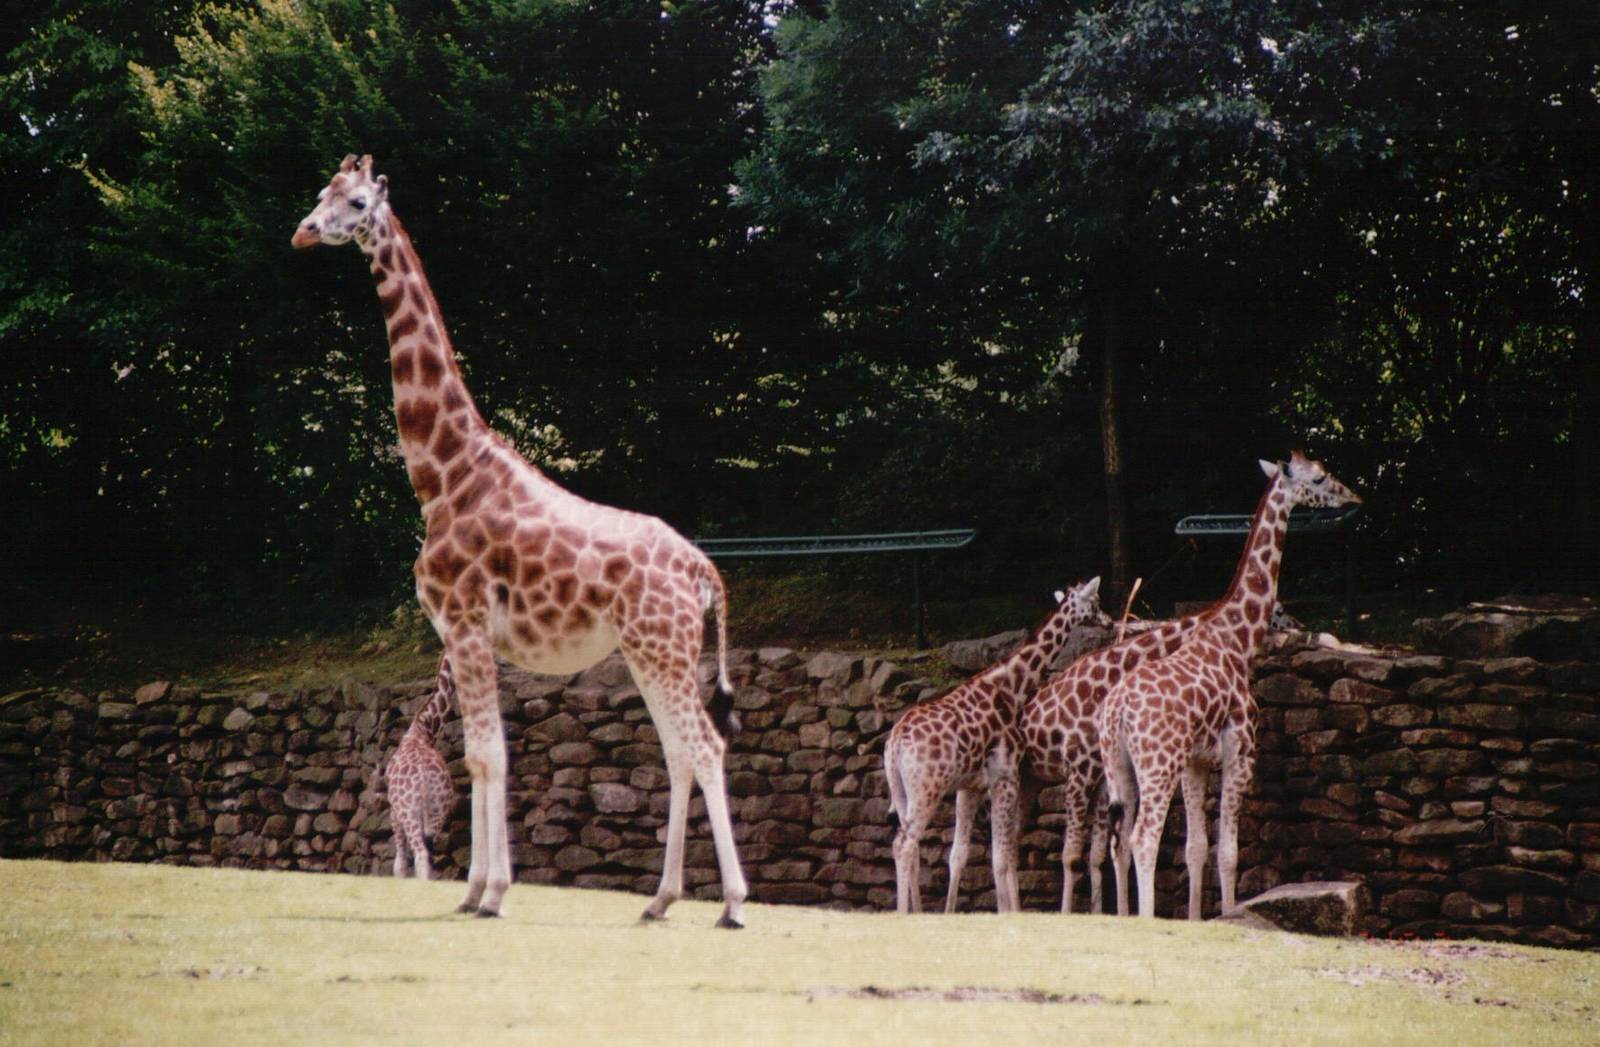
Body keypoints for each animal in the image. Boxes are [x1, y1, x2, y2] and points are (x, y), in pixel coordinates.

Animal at [386, 655, 457, 880]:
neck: (423, 730)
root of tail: (424, 778)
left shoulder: (394, 812)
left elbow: (399, 865)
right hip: (438, 812)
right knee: (428, 858)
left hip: (409, 812)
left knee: (420, 856)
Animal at [884, 577, 1110, 914]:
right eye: (1095, 602)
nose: (1109, 621)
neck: (1008, 689)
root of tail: (895, 743)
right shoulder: (1004, 777)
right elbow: (1001, 857)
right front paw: (1006, 912)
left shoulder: (971, 786)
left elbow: (962, 854)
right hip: (928, 789)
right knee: (905, 843)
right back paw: (903, 913)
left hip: (901, 791)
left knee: (907, 845)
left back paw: (917, 912)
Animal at [1098, 451, 1360, 919]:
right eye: (1319, 477)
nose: (1353, 496)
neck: (1238, 638)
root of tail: (1119, 713)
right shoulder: (1240, 750)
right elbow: (1229, 851)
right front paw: (1232, 913)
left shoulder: (1196, 762)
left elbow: (1196, 848)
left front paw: (1196, 919)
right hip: (1157, 764)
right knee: (1143, 838)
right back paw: (1145, 919)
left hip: (1117, 766)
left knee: (1119, 841)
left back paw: (1125, 918)